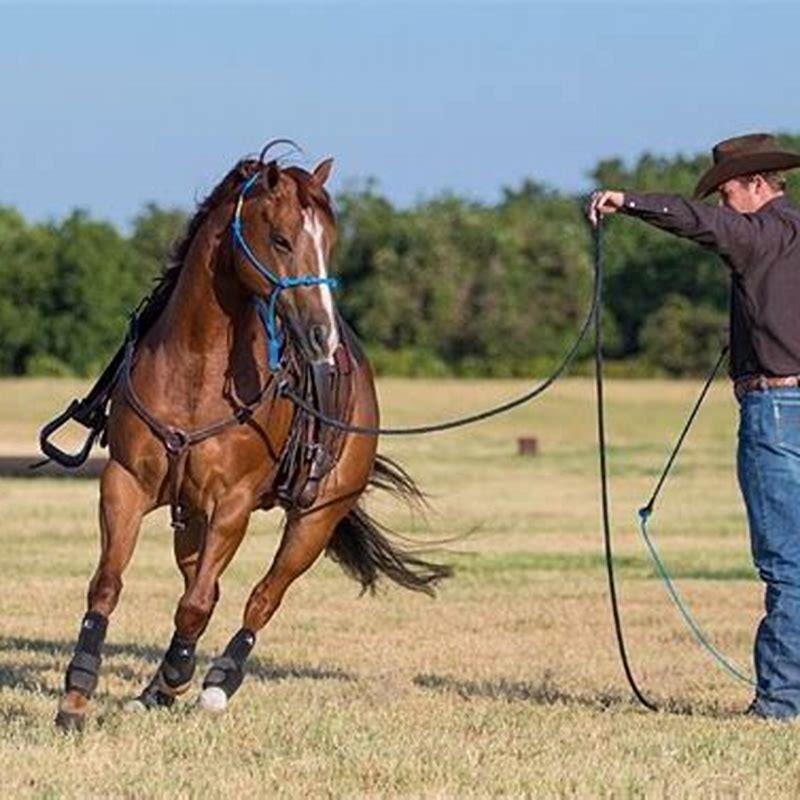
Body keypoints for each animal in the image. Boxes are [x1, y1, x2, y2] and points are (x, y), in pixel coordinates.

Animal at [53, 145, 451, 731]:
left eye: (329, 243)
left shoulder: (233, 504)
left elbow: (198, 605)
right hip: (190, 519)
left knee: (263, 596)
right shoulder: (125, 485)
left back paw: (215, 682)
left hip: (315, 519)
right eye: (282, 239)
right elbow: (109, 585)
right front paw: (77, 697)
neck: (196, 368)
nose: (321, 337)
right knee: (206, 584)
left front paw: (180, 674)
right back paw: (159, 688)